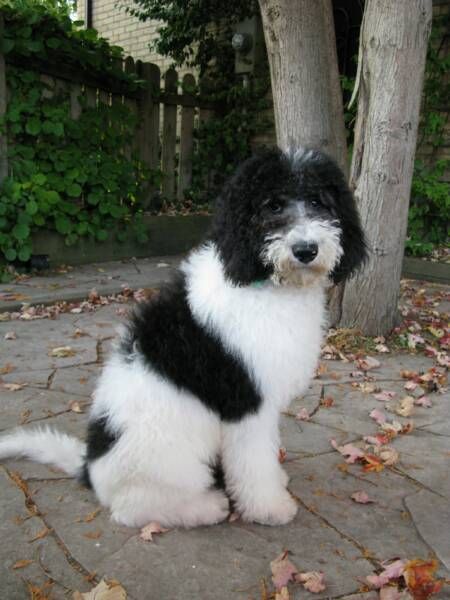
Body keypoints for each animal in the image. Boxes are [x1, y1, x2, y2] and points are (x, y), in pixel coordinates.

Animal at [0, 148, 366, 528]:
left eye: (318, 201)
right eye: (273, 206)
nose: (306, 249)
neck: (263, 283)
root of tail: (91, 467)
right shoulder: (247, 403)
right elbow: (254, 460)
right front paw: (270, 507)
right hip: (171, 460)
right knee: (135, 507)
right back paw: (205, 507)